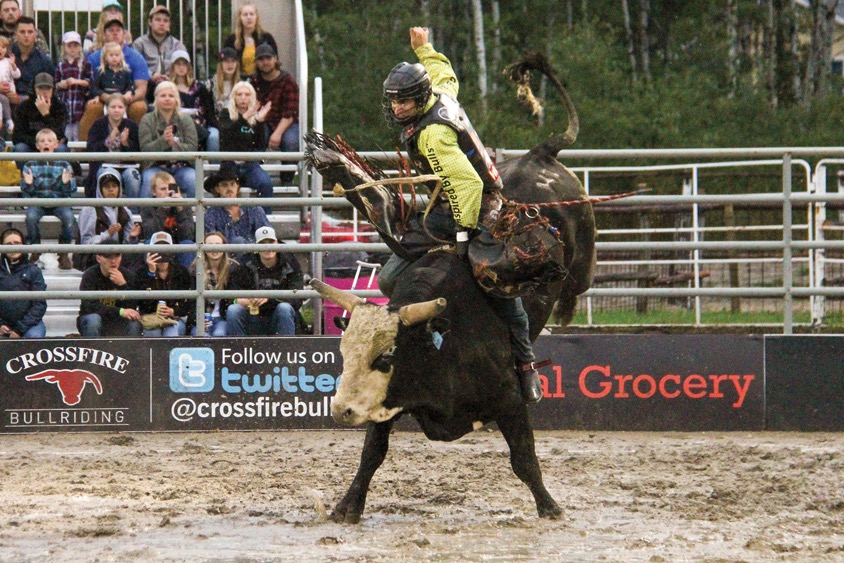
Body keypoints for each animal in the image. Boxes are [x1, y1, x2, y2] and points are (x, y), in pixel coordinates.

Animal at [306, 53, 595, 523]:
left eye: (385, 358)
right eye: (344, 353)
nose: (341, 410)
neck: (440, 341)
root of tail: (539, 154)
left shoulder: (509, 401)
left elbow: (524, 459)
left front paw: (549, 506)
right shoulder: (388, 403)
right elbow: (372, 454)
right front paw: (347, 505)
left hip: (582, 246)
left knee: (578, 282)